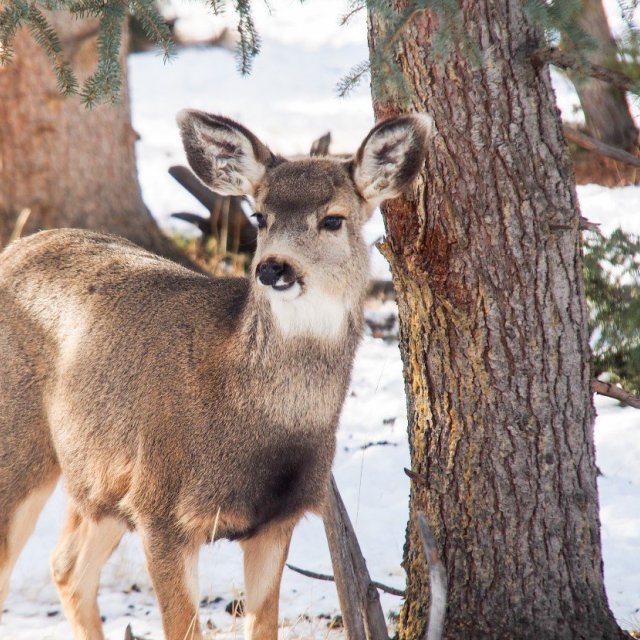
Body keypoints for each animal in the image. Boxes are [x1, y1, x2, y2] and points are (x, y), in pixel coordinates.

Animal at [0, 111, 432, 640]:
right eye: (260, 216)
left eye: (333, 219)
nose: (272, 268)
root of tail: (15, 249)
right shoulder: (159, 507)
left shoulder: (276, 519)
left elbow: (263, 624)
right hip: (21, 446)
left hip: (99, 480)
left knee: (66, 565)